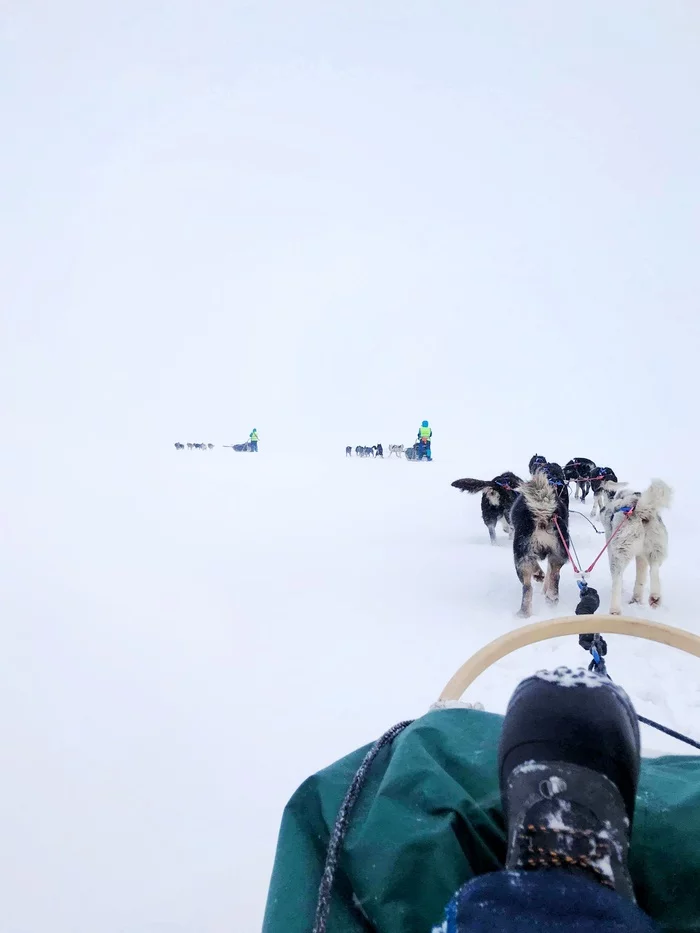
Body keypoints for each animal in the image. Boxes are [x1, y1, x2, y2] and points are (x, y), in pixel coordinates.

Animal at [512, 460, 572, 620]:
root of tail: (543, 516)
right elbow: (549, 573)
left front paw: (539, 575)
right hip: (558, 553)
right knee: (555, 576)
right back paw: (551, 598)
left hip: (521, 557)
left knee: (527, 587)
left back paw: (524, 612)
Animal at [596, 476, 672, 616]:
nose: (603, 509)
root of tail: (640, 509)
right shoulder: (641, 556)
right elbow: (640, 578)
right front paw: (636, 599)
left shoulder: (611, 547)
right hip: (656, 548)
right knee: (654, 569)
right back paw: (655, 597)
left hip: (620, 554)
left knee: (617, 579)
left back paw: (615, 610)